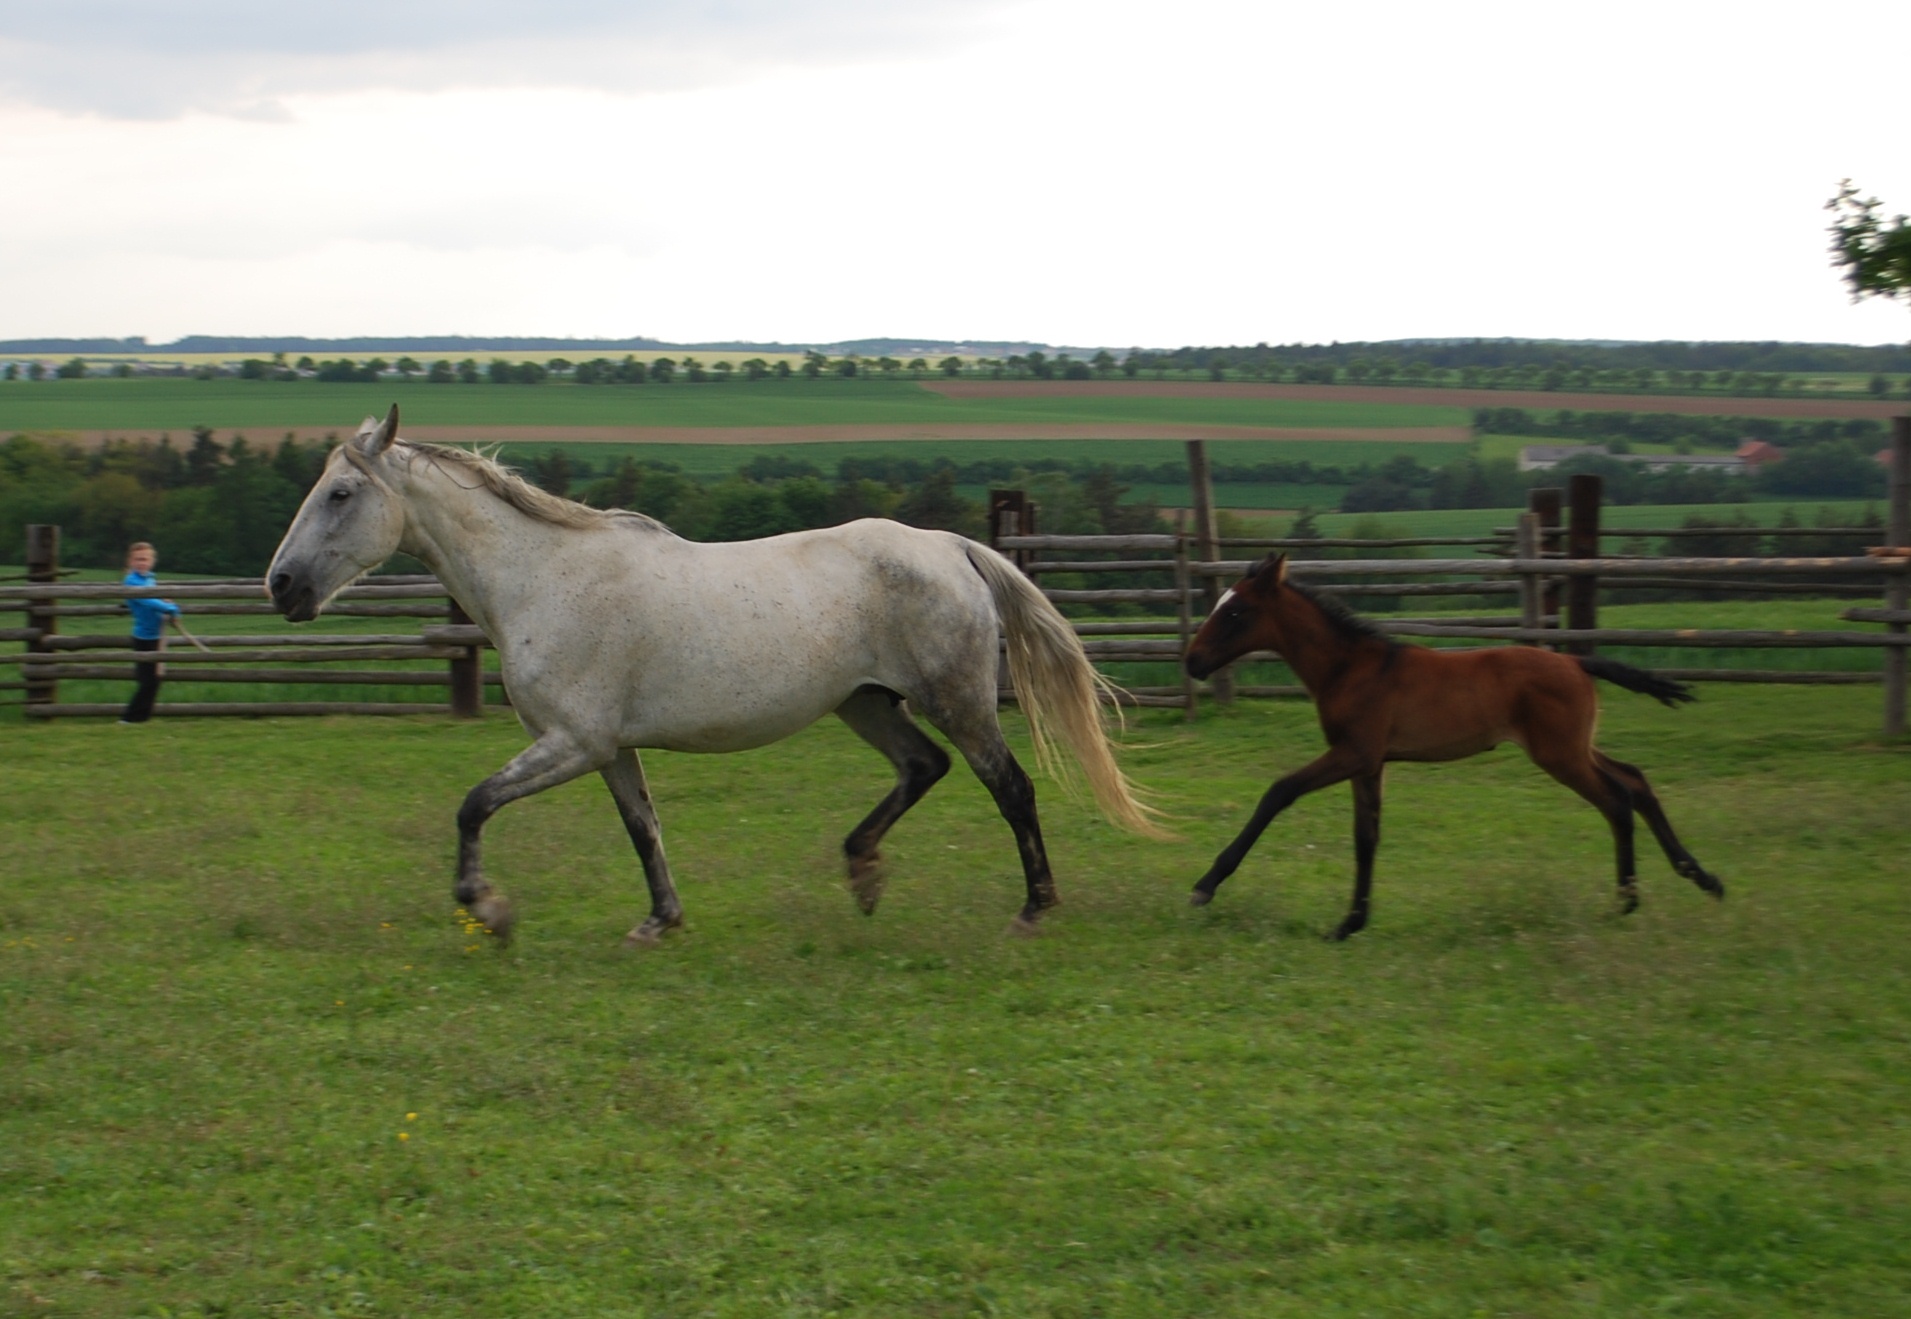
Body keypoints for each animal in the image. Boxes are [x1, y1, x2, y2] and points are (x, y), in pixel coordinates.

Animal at [269, 405, 1161, 940]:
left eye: (341, 493)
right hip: (866, 703)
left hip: (958, 699)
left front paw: (486, 907)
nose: (281, 585)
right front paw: (659, 921)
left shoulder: (572, 741)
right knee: (923, 767)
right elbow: (643, 827)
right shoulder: (608, 748)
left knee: (1009, 786)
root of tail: (952, 545)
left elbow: (473, 804)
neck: (542, 576)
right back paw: (862, 871)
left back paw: (1032, 908)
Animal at [1184, 550, 1727, 936]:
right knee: (1635, 780)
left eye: (1236, 611)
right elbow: (1366, 838)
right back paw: (1700, 877)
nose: (1191, 660)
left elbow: (1279, 791)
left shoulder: (1354, 752)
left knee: (1616, 799)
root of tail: (1576, 662)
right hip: (1576, 748)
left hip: (1560, 754)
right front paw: (1350, 924)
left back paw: (1628, 901)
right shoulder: (1371, 763)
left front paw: (1206, 885)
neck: (1351, 667)